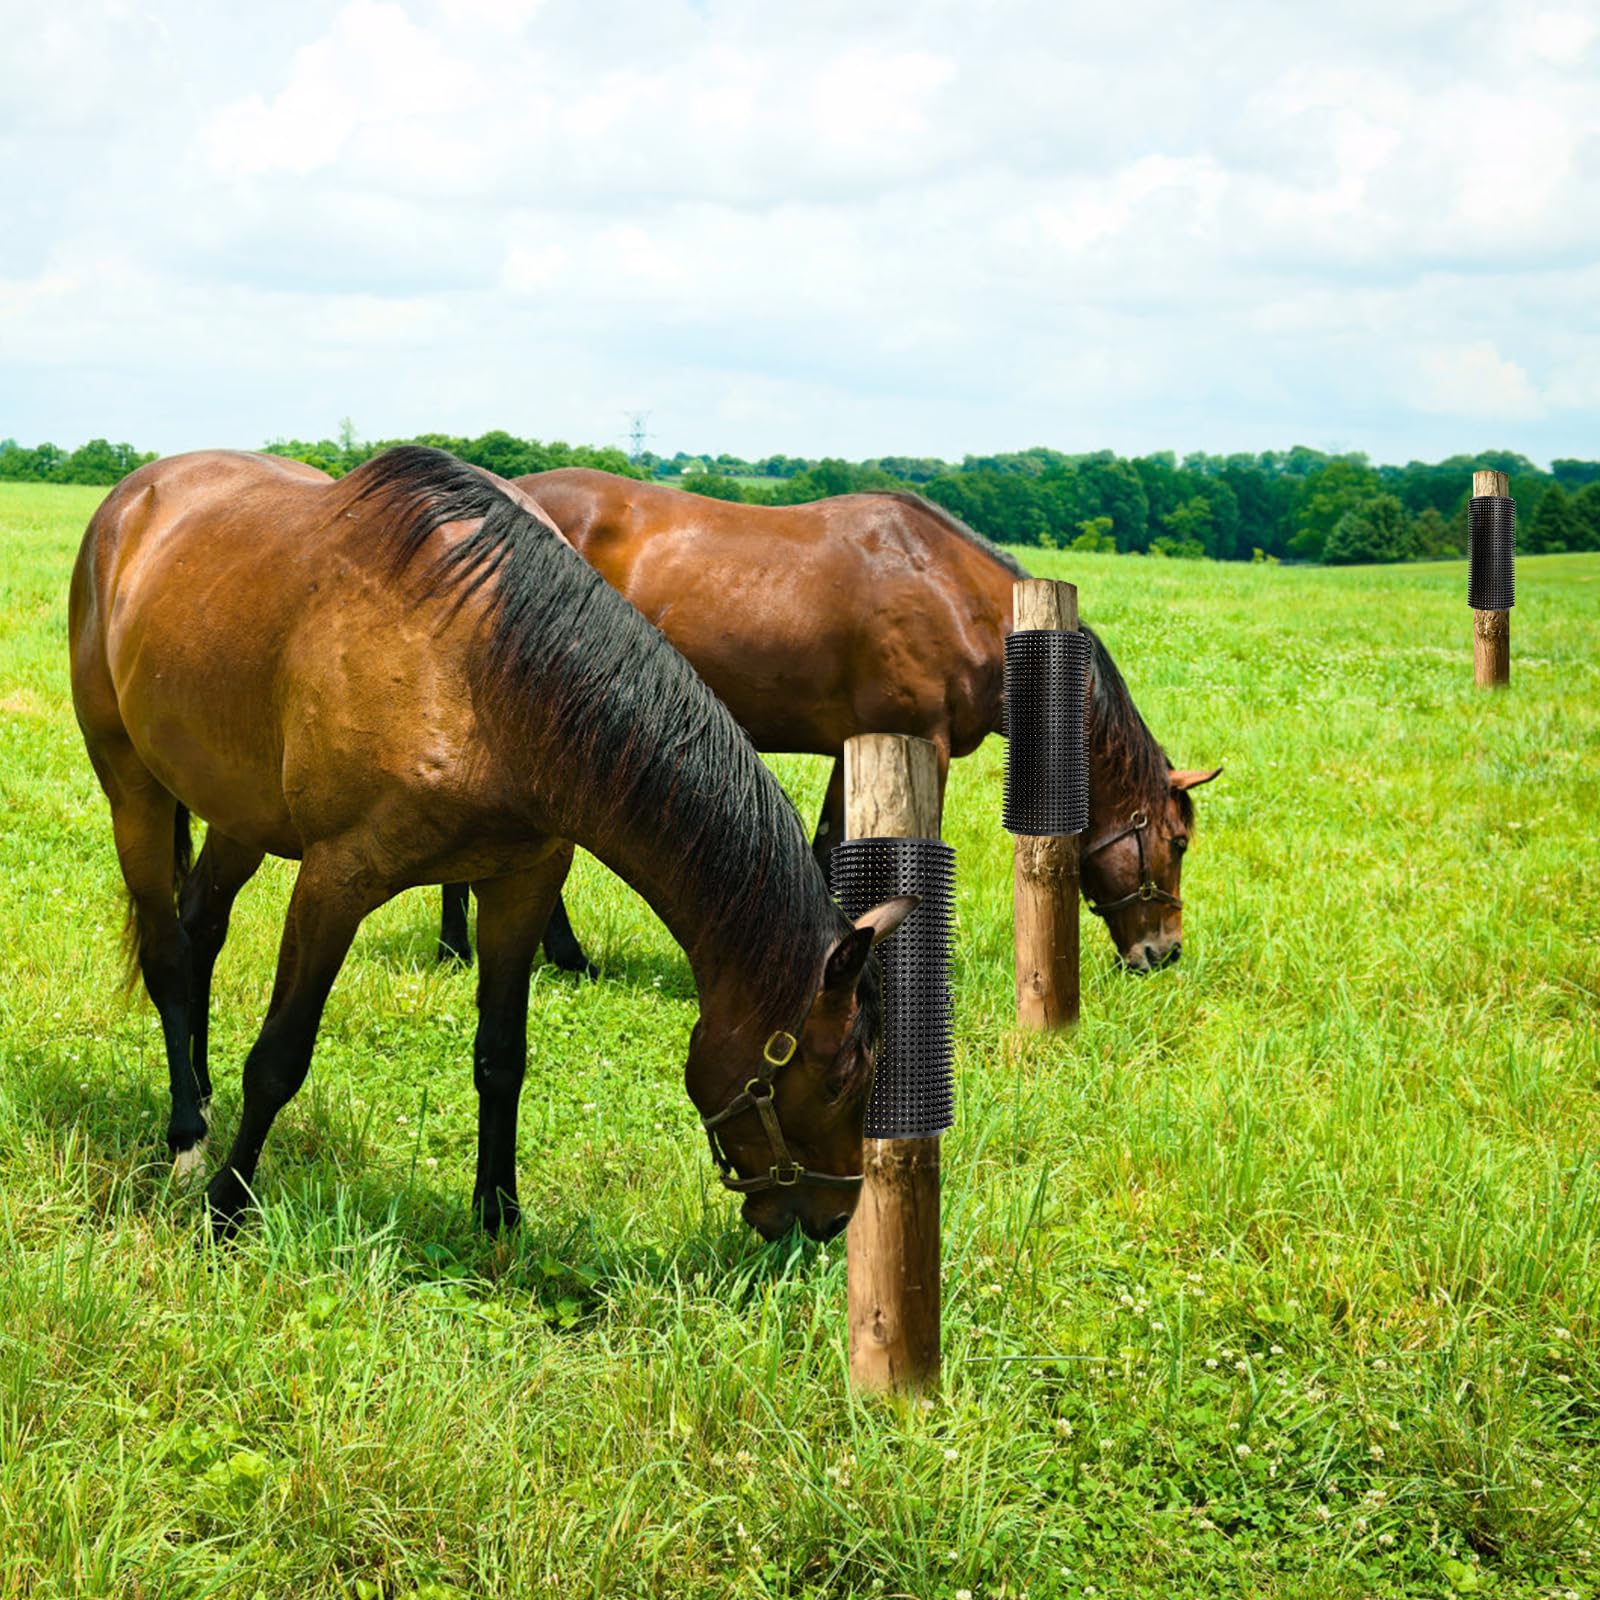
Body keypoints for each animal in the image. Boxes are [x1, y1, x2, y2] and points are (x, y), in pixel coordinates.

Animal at [68, 446, 913, 1242]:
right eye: (839, 1077)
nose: (829, 1219)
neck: (485, 674)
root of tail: (130, 499)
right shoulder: (334, 881)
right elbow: (279, 1059)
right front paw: (226, 1209)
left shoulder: (523, 882)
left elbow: (502, 1056)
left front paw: (499, 1213)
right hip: (132, 787)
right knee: (167, 953)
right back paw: (185, 1137)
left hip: (238, 814)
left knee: (202, 927)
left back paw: (202, 1098)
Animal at [437, 469, 1219, 974]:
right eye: (1178, 843)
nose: (1163, 954)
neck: (958, 598)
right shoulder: (922, 745)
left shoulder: (857, 748)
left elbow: (825, 849)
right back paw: (485, 952)